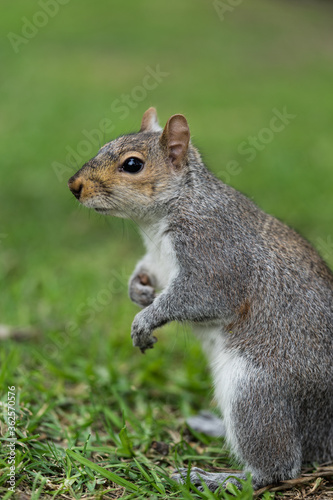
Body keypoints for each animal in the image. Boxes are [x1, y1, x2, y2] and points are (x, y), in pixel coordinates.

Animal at [68, 107, 332, 490]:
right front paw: (139, 291)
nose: (74, 186)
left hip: (256, 390)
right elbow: (146, 273)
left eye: (132, 164)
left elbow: (204, 297)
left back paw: (217, 478)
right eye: (104, 145)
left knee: (277, 467)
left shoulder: (215, 252)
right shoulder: (156, 260)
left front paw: (144, 320)